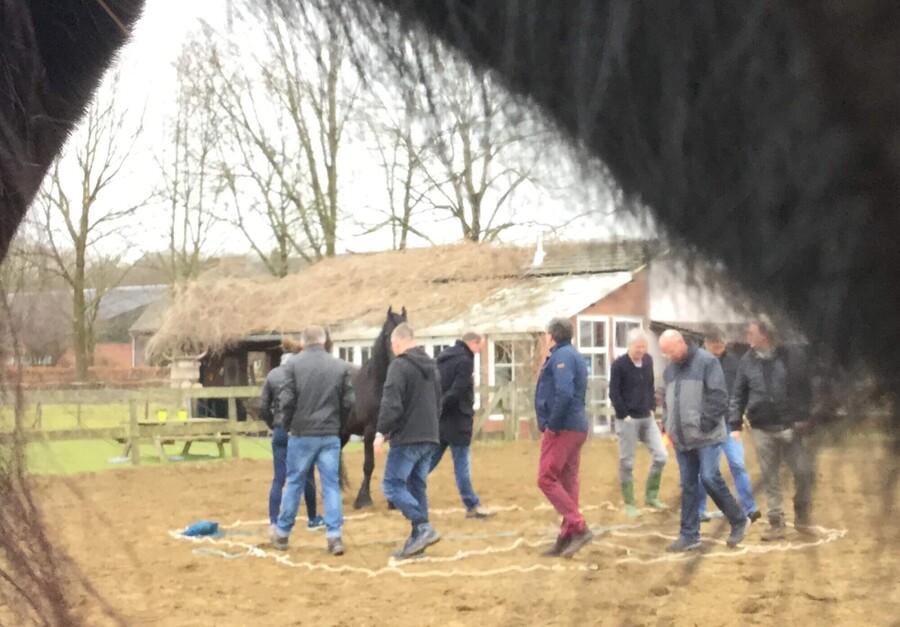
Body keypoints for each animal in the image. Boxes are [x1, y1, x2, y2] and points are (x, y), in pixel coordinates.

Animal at [340, 306, 406, 510]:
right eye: (386, 334)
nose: (398, 357)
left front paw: (393, 501)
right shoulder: (370, 432)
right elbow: (368, 464)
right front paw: (363, 499)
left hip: (343, 433)